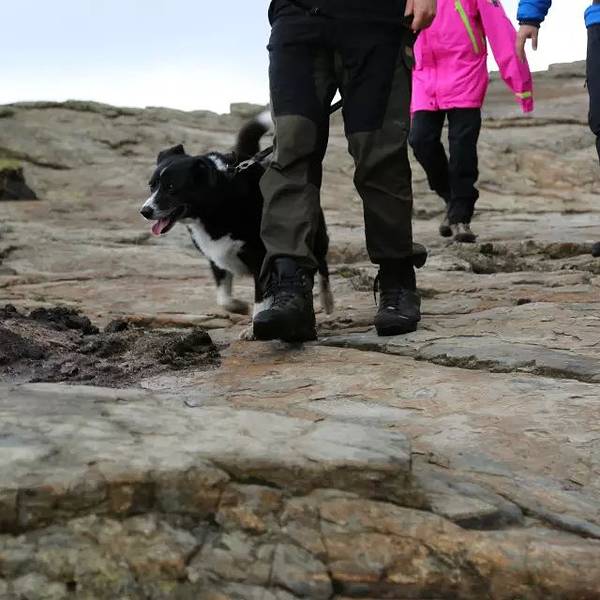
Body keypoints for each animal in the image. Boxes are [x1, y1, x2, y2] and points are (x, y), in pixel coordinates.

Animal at [140, 111, 334, 336]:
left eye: (171, 188)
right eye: (152, 186)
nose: (145, 211)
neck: (217, 203)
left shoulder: (261, 258)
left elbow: (260, 298)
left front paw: (254, 328)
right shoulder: (215, 256)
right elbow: (223, 299)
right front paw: (240, 307)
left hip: (317, 234)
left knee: (321, 262)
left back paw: (327, 301)